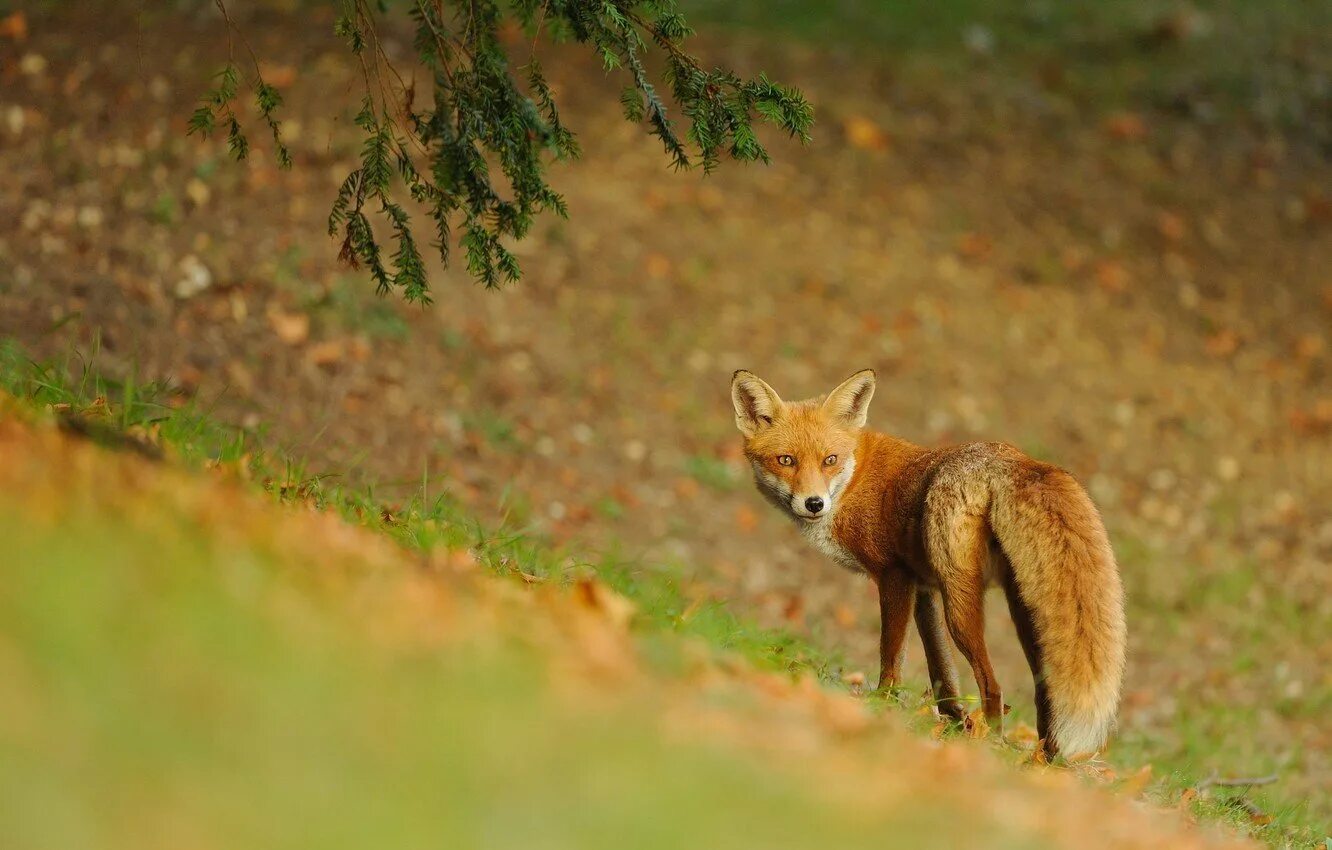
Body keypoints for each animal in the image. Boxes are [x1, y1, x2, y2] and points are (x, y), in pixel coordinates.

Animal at [735, 367, 1129, 756]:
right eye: (786, 460)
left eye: (829, 460)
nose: (814, 503)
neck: (855, 480)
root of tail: (1018, 459)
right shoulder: (923, 588)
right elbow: (943, 673)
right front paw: (954, 722)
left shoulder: (894, 576)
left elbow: (892, 655)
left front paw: (883, 705)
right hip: (1024, 611)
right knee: (1042, 685)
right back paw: (1044, 756)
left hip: (961, 604)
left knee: (993, 684)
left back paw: (992, 744)